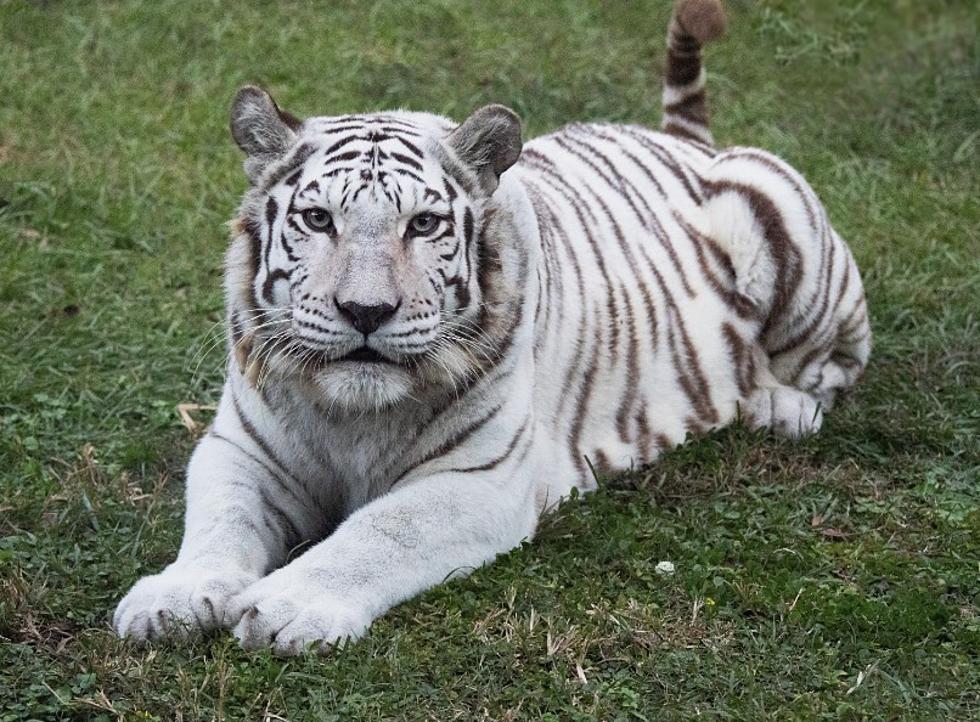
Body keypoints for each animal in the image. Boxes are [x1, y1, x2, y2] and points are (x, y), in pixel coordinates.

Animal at [111, 0, 868, 652]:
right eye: (318, 219)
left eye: (423, 224)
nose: (366, 312)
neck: (353, 417)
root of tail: (682, 142)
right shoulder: (242, 451)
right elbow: (219, 523)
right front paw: (171, 597)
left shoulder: (479, 478)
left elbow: (376, 533)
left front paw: (287, 607)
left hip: (780, 214)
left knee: (834, 366)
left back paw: (779, 407)